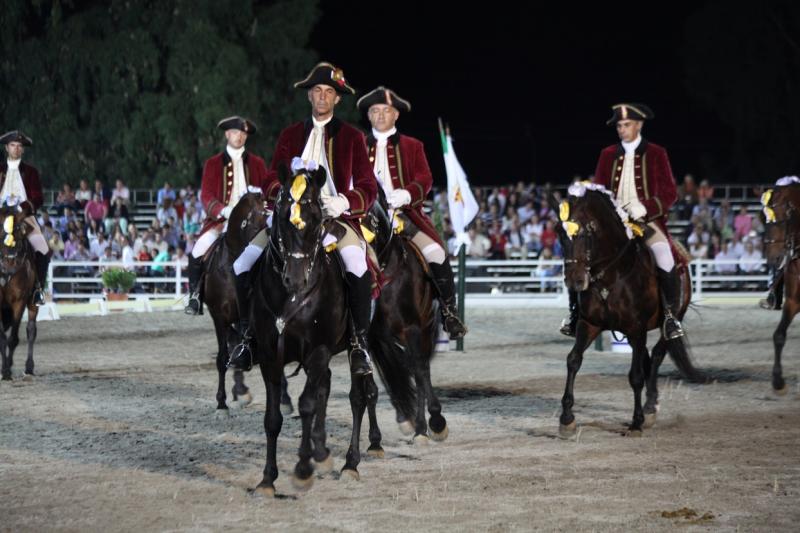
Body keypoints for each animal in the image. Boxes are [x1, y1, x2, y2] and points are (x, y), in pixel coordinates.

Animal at [250, 163, 416, 494]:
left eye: (317, 218)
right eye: (282, 216)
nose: (295, 279)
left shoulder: (317, 351)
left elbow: (308, 404)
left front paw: (303, 469)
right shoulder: (269, 357)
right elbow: (273, 418)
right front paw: (267, 479)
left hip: (359, 345)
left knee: (358, 396)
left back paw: (351, 462)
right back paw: (325, 452)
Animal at [368, 194, 450, 440]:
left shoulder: (413, 328)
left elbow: (419, 371)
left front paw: (432, 422)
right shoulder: (376, 338)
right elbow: (390, 372)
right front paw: (406, 419)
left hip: (424, 329)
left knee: (420, 367)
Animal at [552, 185, 704, 434]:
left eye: (586, 232)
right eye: (560, 233)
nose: (575, 282)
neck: (612, 276)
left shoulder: (636, 328)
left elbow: (636, 376)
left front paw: (636, 421)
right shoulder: (589, 324)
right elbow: (573, 360)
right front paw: (567, 419)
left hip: (671, 320)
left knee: (657, 356)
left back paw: (649, 407)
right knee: (647, 359)